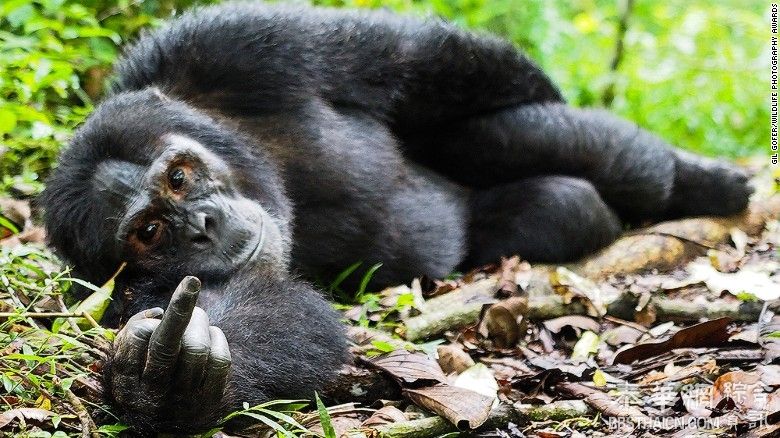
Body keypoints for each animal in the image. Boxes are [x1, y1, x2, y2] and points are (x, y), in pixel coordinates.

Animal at [39, 1, 752, 434]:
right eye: (149, 232)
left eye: (180, 178)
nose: (201, 225)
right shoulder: (125, 295)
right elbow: (273, 311)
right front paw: (170, 378)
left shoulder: (234, 45)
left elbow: (415, 59)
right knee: (566, 206)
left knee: (513, 136)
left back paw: (700, 184)